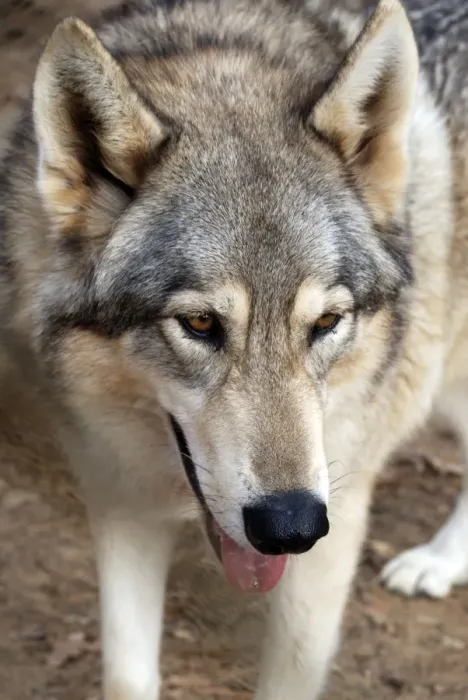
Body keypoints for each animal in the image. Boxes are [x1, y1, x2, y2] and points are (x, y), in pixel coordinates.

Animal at [1, 0, 468, 697]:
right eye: (199, 324)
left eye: (327, 322)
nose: (291, 527)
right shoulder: (120, 501)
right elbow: (127, 674)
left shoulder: (334, 522)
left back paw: (437, 562)